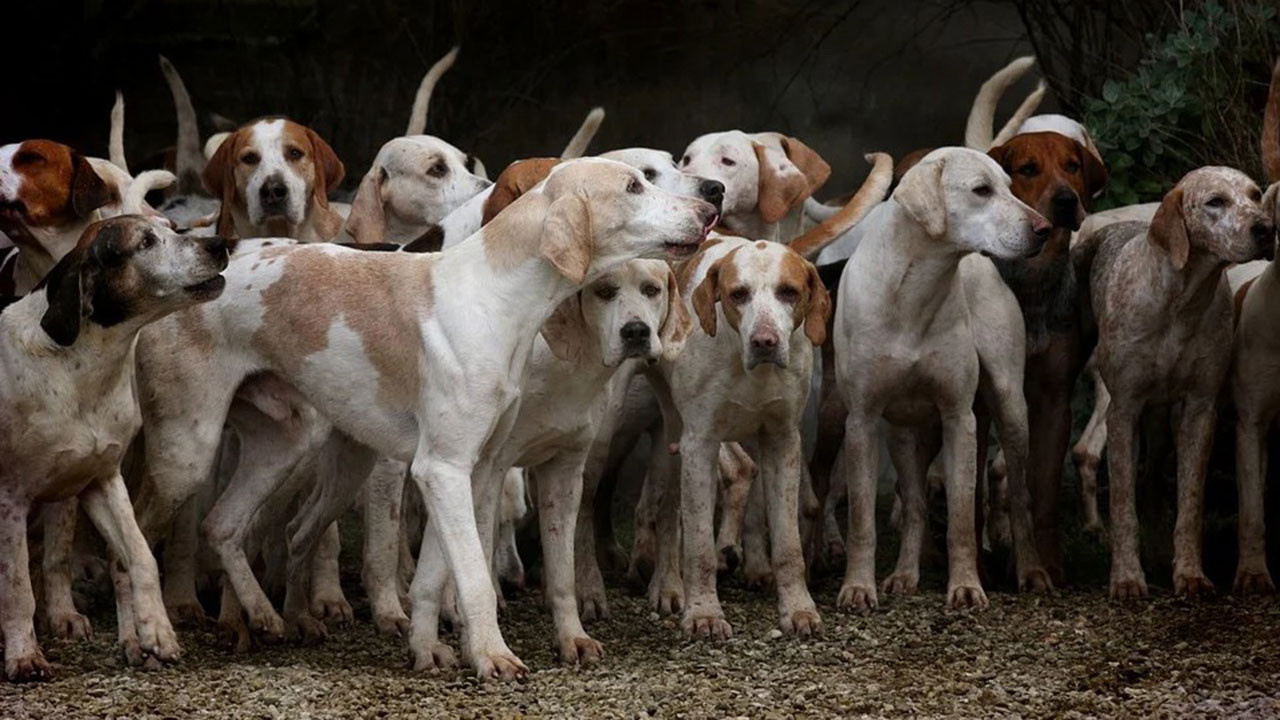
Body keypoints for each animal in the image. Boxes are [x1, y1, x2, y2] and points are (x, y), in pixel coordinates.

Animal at [0, 203, 227, 676]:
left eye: (172, 228)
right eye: (145, 243)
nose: (219, 243)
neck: (79, 368)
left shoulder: (102, 480)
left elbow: (138, 555)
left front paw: (154, 631)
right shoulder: (9, 497)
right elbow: (16, 588)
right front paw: (24, 655)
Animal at [829, 148, 1049, 607]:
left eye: (1010, 187)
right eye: (981, 190)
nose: (1045, 228)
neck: (914, 290)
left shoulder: (959, 418)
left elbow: (963, 518)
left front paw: (965, 585)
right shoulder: (861, 421)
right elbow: (862, 519)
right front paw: (857, 587)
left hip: (1010, 409)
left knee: (1019, 496)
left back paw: (1032, 571)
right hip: (903, 434)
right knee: (913, 503)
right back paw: (904, 575)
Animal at [1080, 165, 1280, 597]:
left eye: (1255, 195)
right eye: (1215, 201)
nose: (1265, 229)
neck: (1181, 300)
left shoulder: (1200, 411)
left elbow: (1189, 505)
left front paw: (1189, 574)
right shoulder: (1123, 411)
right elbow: (1122, 505)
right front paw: (1126, 578)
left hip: (1163, 424)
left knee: (1154, 484)